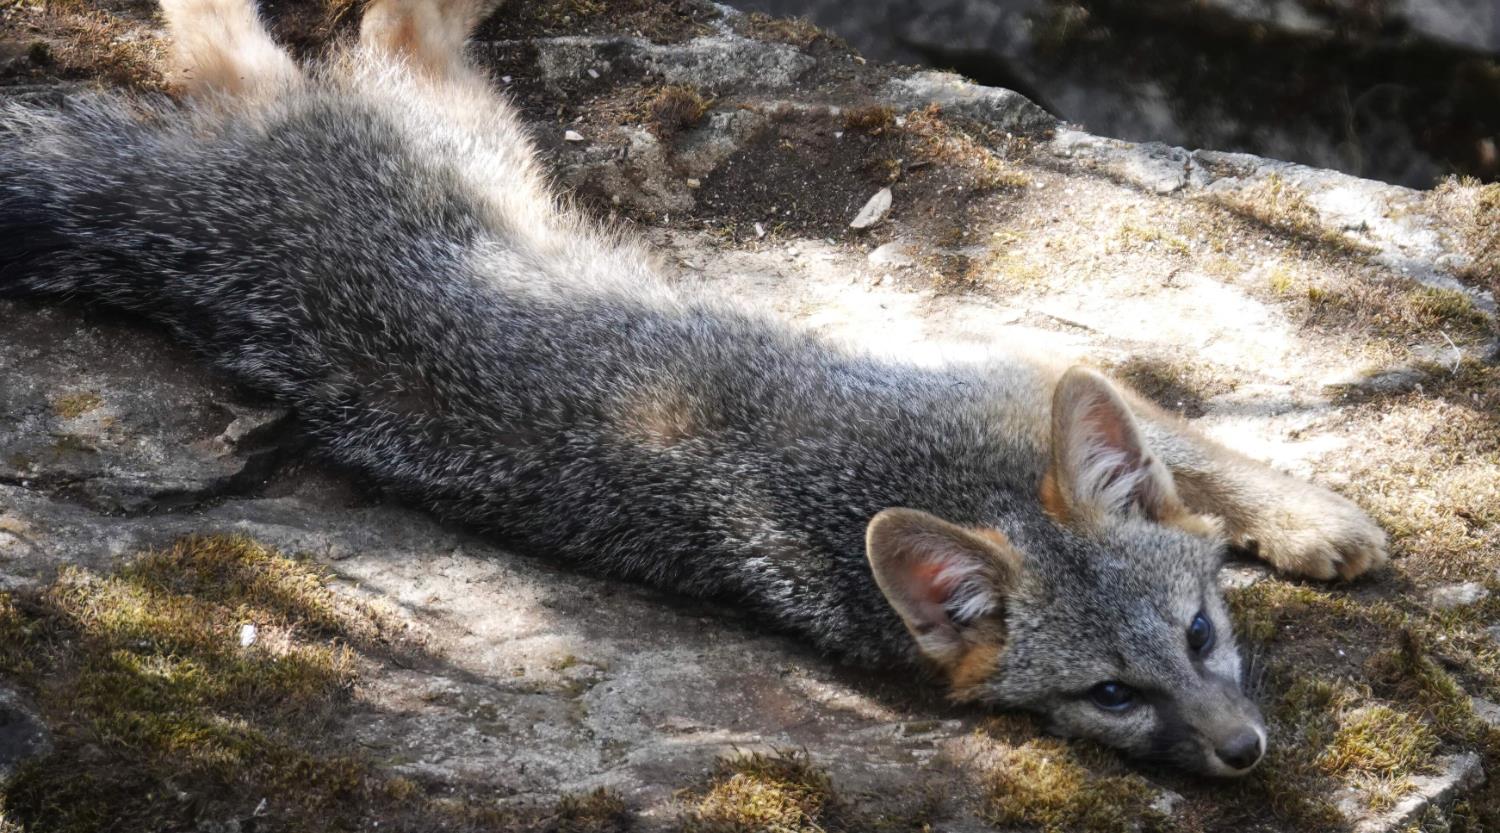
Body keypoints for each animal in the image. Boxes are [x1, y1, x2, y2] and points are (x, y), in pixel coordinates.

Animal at [0, 0, 1389, 778]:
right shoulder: (996, 362)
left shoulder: (1002, 375)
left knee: (272, 44)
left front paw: (1305, 519)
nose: (1243, 753)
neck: (915, 470)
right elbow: (1182, 431)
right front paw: (1323, 516)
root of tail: (207, 227)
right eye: (1113, 695)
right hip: (449, 129)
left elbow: (1179, 446)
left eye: (1200, 638)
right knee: (347, 32)